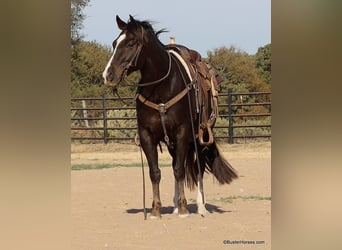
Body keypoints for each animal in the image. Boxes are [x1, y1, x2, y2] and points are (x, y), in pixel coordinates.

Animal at [102, 15, 238, 219]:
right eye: (114, 43)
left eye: (131, 43)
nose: (108, 75)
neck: (162, 88)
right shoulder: (147, 135)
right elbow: (156, 172)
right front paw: (156, 210)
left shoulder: (183, 133)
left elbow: (180, 170)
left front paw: (183, 209)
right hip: (172, 142)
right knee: (176, 164)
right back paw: (174, 205)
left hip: (200, 138)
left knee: (197, 168)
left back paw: (200, 206)